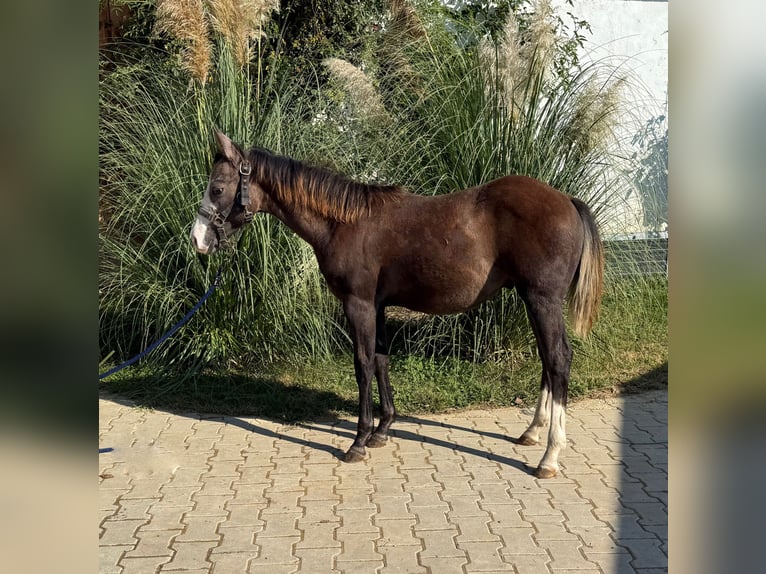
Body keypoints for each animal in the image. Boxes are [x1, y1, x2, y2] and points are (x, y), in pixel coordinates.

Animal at [190, 129, 604, 478]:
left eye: (218, 187)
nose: (198, 239)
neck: (344, 223)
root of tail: (566, 200)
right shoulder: (378, 306)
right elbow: (381, 360)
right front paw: (383, 429)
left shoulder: (357, 304)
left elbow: (362, 365)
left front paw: (358, 441)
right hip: (532, 299)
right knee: (547, 360)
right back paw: (532, 432)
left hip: (541, 298)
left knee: (558, 359)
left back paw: (549, 456)